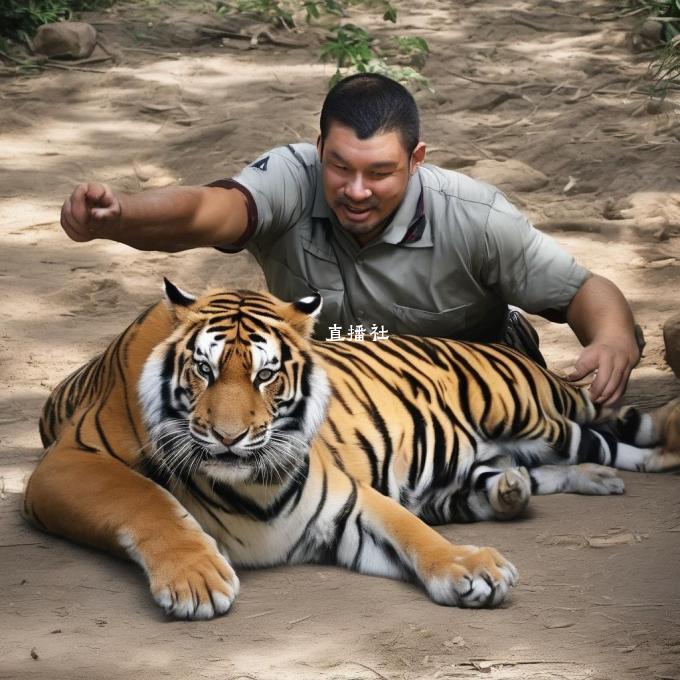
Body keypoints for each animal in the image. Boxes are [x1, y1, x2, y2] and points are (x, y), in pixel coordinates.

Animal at [23, 278, 680, 620]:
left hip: (530, 410)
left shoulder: (347, 501)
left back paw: (654, 446)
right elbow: (145, 499)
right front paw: (195, 579)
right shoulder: (64, 465)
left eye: (267, 375)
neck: (251, 489)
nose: (231, 437)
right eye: (203, 371)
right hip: (491, 457)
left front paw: (470, 568)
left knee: (611, 428)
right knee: (534, 468)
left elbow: (415, 532)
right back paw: (549, 485)